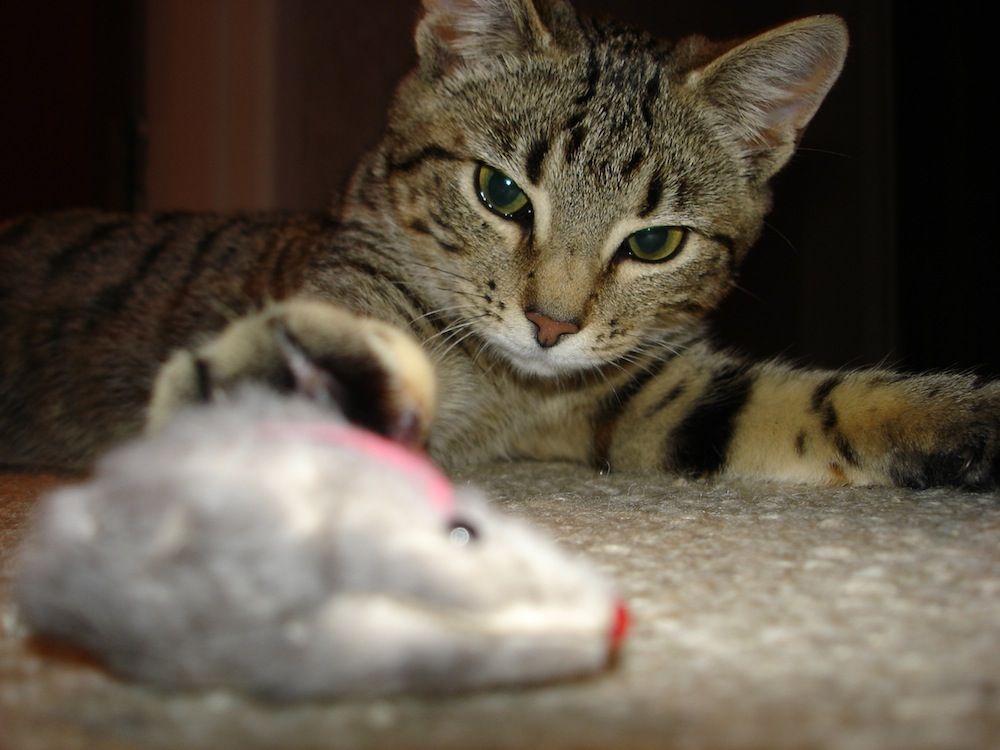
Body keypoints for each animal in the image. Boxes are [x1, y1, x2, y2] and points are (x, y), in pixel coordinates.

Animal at [0, 0, 996, 490]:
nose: (551, 325)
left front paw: (962, 420)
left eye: (656, 242)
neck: (509, 395)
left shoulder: (644, 394)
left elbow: (808, 402)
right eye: (500, 192)